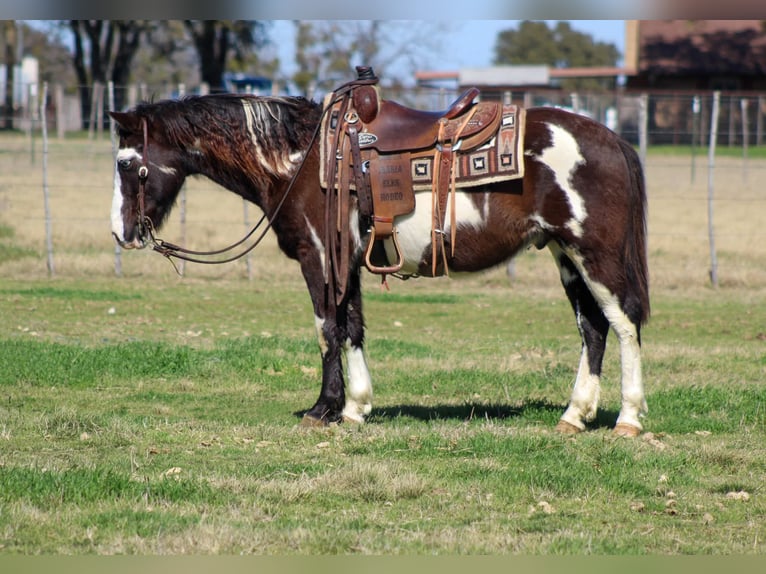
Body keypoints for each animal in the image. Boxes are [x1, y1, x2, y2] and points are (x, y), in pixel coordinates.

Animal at [108, 83, 648, 438]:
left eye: (125, 163)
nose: (121, 233)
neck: (303, 159)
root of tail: (613, 139)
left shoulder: (318, 256)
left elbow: (327, 327)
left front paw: (325, 409)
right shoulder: (346, 262)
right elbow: (352, 326)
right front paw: (356, 406)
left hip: (594, 254)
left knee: (623, 325)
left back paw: (627, 419)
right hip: (564, 256)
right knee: (593, 329)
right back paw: (574, 416)